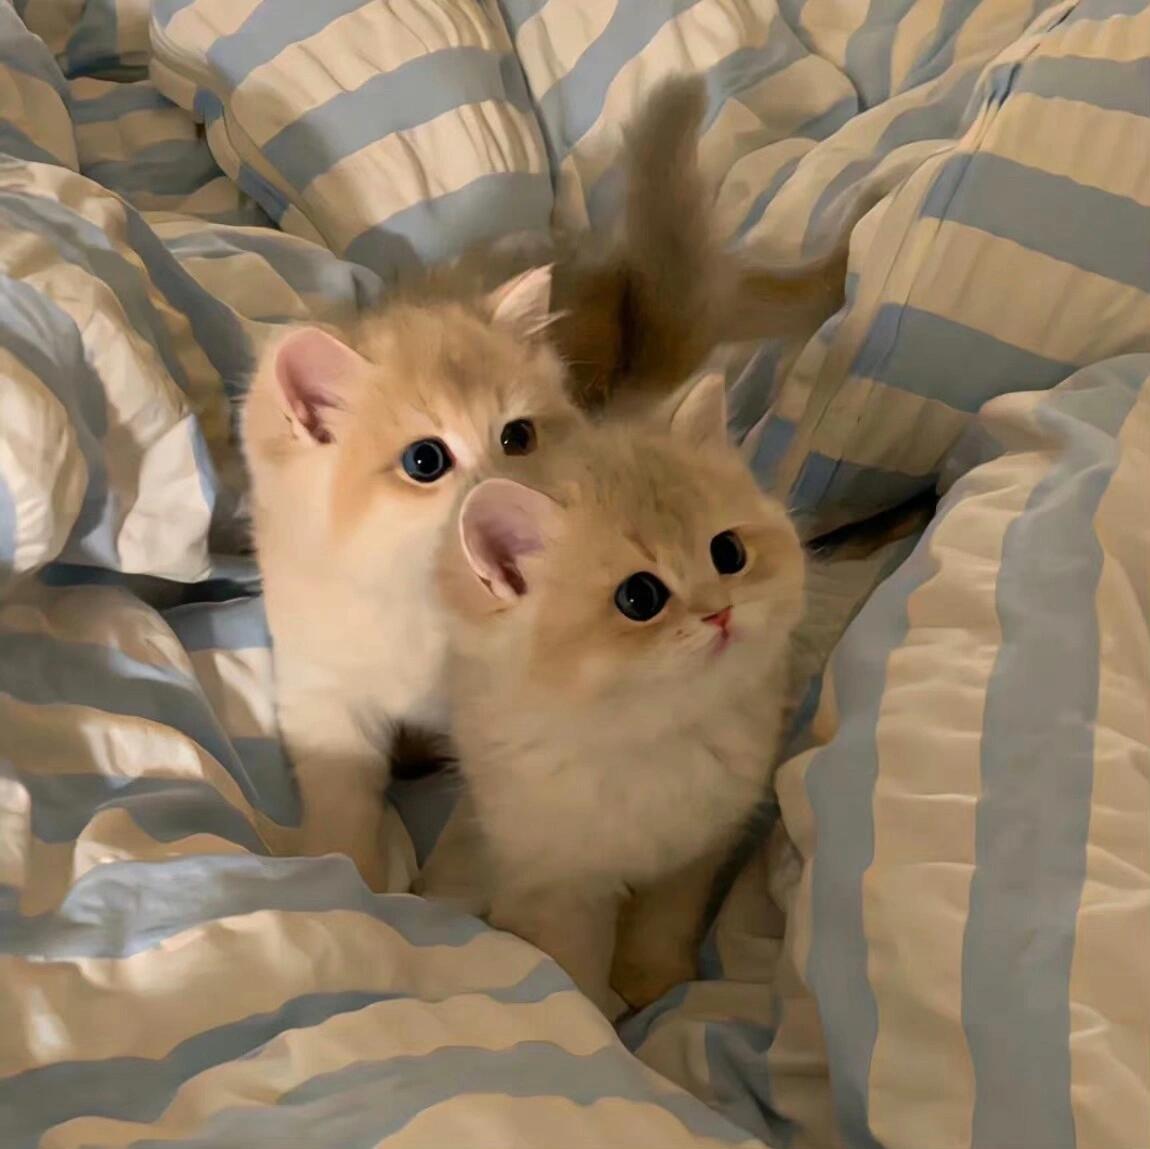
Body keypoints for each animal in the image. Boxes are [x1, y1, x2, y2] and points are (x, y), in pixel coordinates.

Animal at [241, 266, 584, 890]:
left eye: (517, 438)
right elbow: (341, 800)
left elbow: (475, 832)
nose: (501, 493)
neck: (421, 602)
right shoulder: (322, 692)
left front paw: (442, 896)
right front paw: (349, 882)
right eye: (425, 461)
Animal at [421, 374, 806, 1011]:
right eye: (639, 598)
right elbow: (572, 965)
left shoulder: (689, 861)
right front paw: (598, 1016)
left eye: (728, 553)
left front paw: (652, 983)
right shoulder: (560, 887)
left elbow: (661, 927)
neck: (652, 741)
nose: (720, 614)